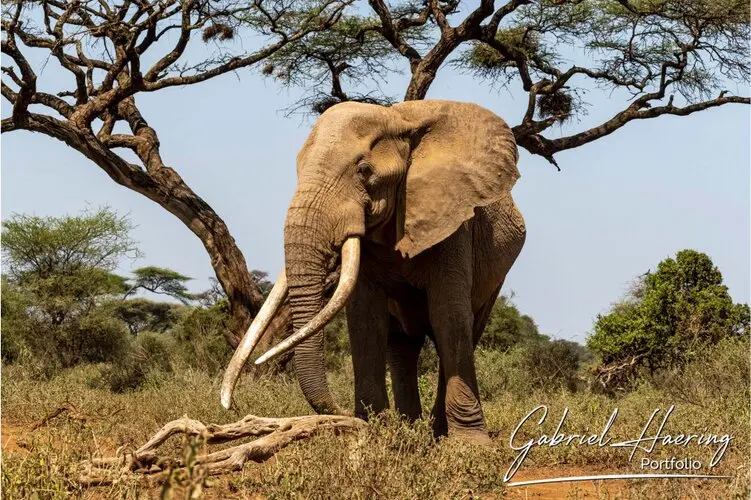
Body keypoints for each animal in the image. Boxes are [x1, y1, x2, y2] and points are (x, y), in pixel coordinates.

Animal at [223, 99, 524, 444]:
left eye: (364, 171)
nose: (232, 407)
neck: (399, 120)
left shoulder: (455, 222)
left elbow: (449, 316)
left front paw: (469, 446)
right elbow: (366, 318)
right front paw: (374, 431)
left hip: (496, 276)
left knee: (465, 331)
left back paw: (435, 432)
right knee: (402, 344)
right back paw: (411, 429)